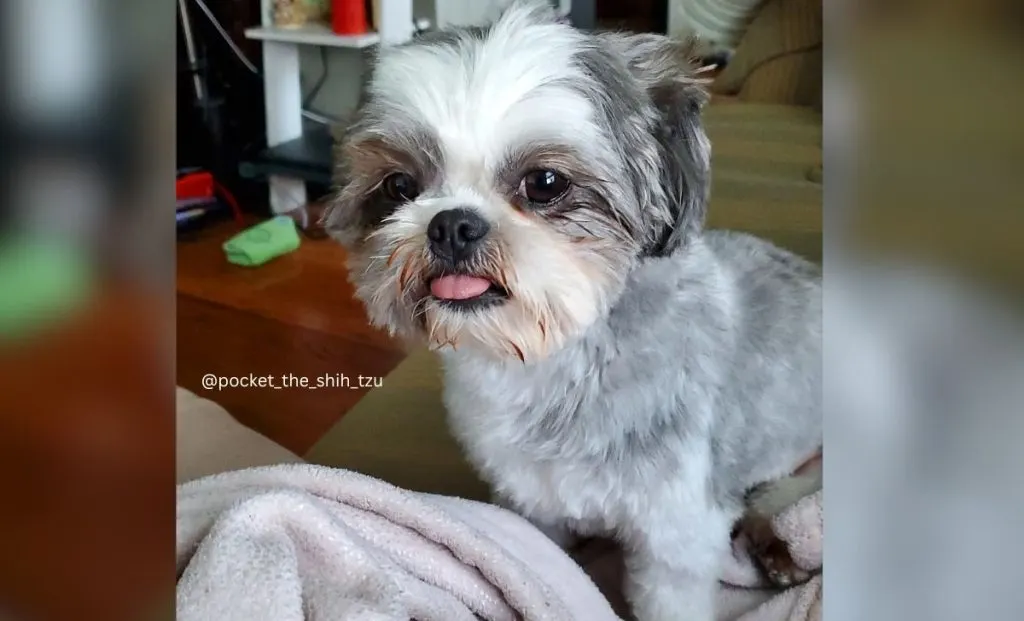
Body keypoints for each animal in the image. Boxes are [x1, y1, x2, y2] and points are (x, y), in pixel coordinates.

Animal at [327, 2, 823, 618]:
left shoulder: (675, 536)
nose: (452, 225)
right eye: (398, 186)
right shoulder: (536, 506)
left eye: (545, 183)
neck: (558, 360)